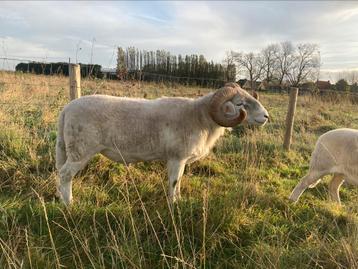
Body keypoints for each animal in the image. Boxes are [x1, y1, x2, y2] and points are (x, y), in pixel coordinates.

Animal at [56, 82, 268, 204]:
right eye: (240, 103)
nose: (266, 116)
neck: (200, 117)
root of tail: (66, 109)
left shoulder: (181, 161)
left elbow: (180, 181)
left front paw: (180, 200)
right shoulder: (176, 159)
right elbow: (174, 182)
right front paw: (173, 205)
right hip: (80, 151)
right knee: (65, 175)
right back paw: (69, 205)